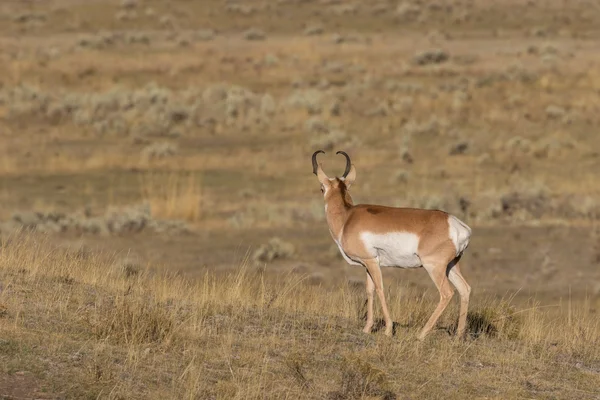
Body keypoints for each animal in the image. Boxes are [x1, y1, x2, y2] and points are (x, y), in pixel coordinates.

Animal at [310, 150, 474, 340]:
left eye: (321, 188)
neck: (347, 217)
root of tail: (455, 224)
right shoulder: (368, 264)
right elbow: (370, 290)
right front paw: (367, 328)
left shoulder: (372, 262)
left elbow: (380, 289)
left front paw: (388, 330)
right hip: (451, 266)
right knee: (464, 289)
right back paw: (458, 336)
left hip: (434, 268)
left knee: (447, 293)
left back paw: (421, 334)